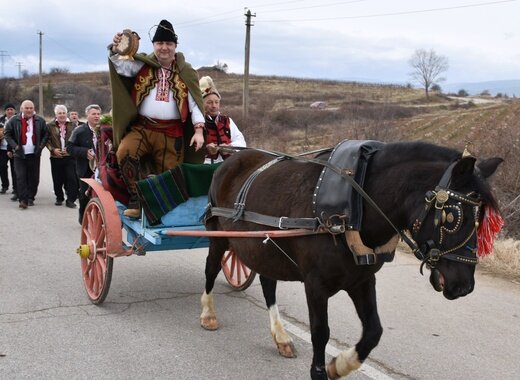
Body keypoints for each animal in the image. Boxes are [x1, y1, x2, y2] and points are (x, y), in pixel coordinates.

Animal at [199, 140, 500, 380]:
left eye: (481, 220)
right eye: (451, 217)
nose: (463, 286)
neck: (353, 208)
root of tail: (230, 159)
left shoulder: (362, 279)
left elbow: (374, 332)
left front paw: (341, 365)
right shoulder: (315, 284)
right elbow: (320, 332)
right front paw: (322, 371)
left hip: (264, 247)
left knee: (267, 284)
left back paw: (281, 336)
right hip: (219, 237)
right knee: (211, 270)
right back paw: (208, 314)